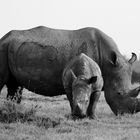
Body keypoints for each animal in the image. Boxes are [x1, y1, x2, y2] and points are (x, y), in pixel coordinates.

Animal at [0, 25, 140, 115]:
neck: (108, 63)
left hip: (13, 49)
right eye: (118, 93)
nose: (127, 114)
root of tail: (4, 38)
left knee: (14, 85)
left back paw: (12, 111)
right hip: (3, 47)